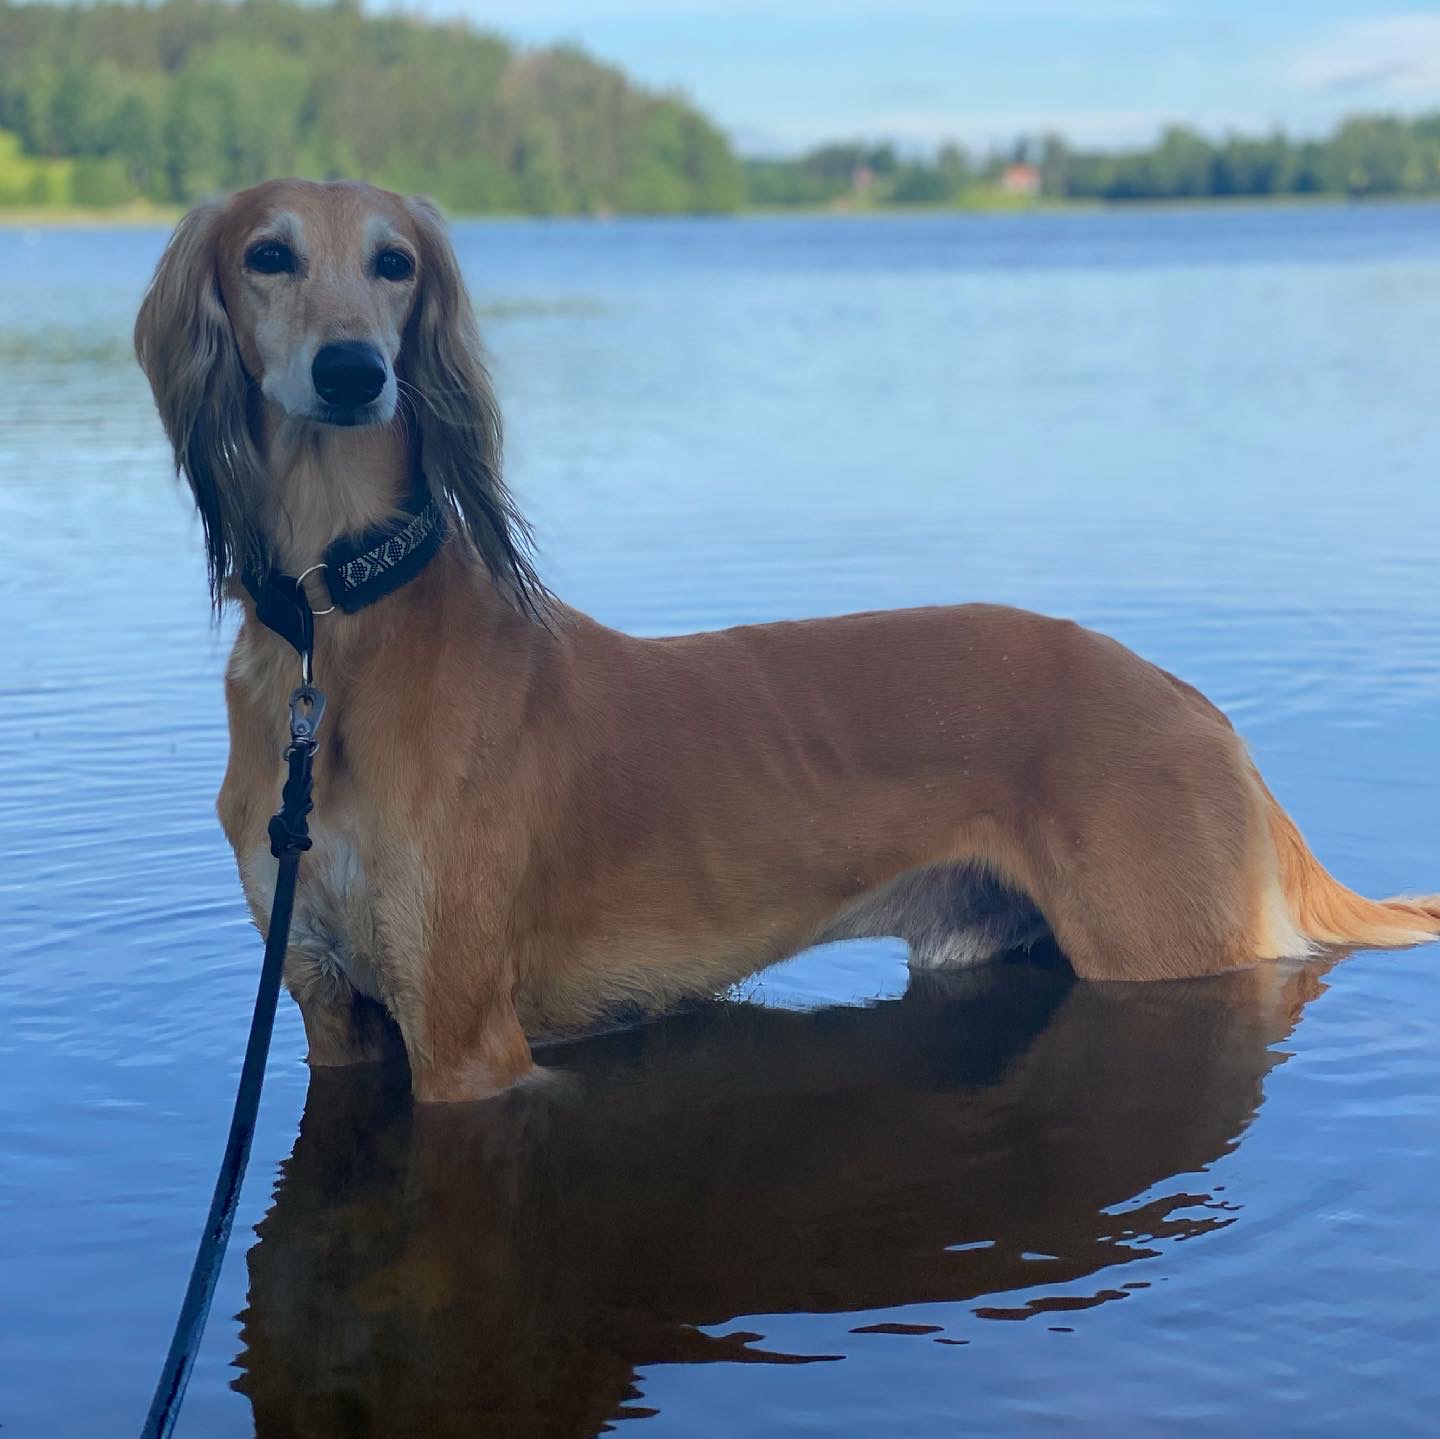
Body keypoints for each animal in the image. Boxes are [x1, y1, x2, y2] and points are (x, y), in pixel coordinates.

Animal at [137, 180, 1440, 1100]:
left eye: (394, 262)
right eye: (268, 254)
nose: (354, 371)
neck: (333, 629)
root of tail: (1198, 706)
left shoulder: (463, 1036)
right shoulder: (332, 1008)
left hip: (1164, 947)